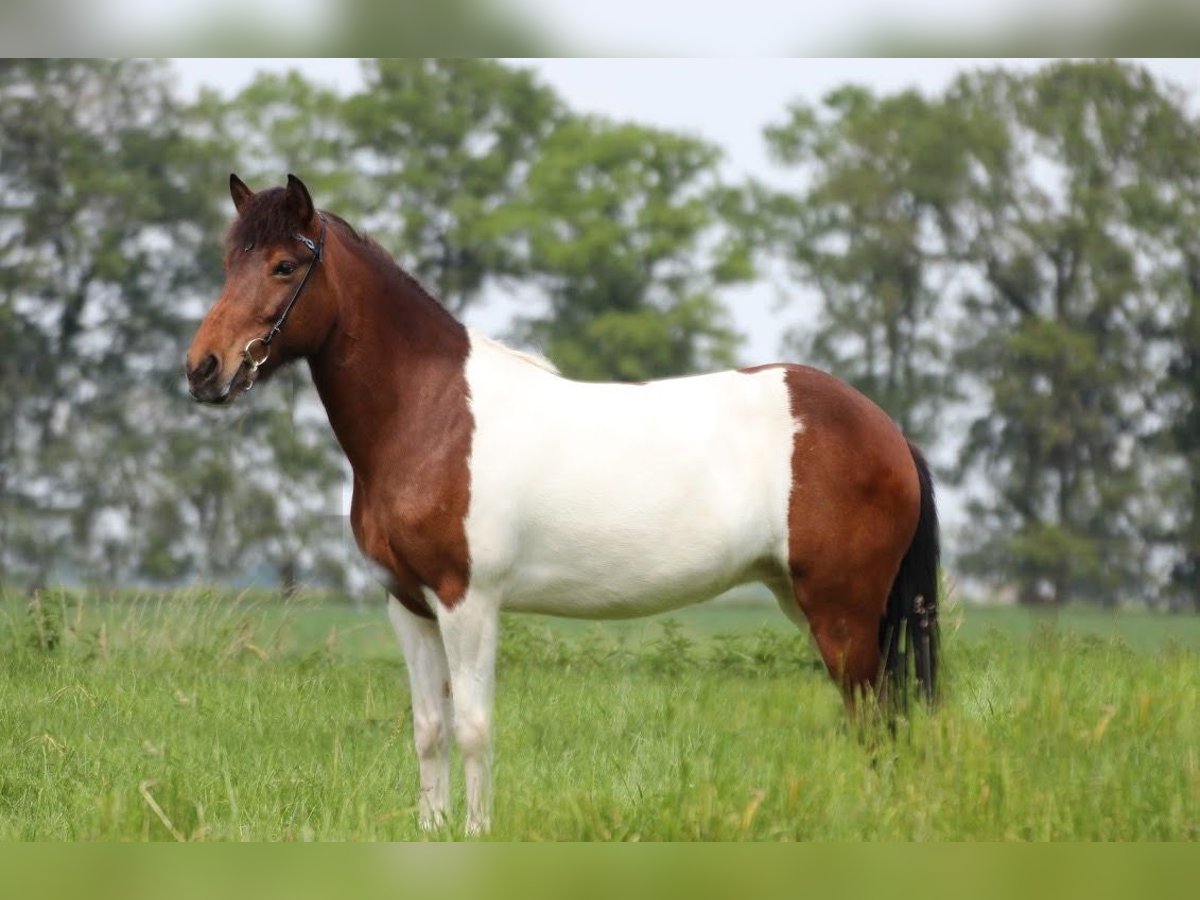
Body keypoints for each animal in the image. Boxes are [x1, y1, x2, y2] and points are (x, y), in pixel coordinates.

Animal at [184, 172, 936, 835]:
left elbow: (473, 727)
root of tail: (885, 428)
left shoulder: (467, 601)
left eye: (284, 266)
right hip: (807, 601)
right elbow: (429, 729)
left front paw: (477, 831)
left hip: (842, 611)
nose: (204, 369)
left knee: (875, 717)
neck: (429, 415)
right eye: (228, 263)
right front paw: (432, 829)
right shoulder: (409, 606)